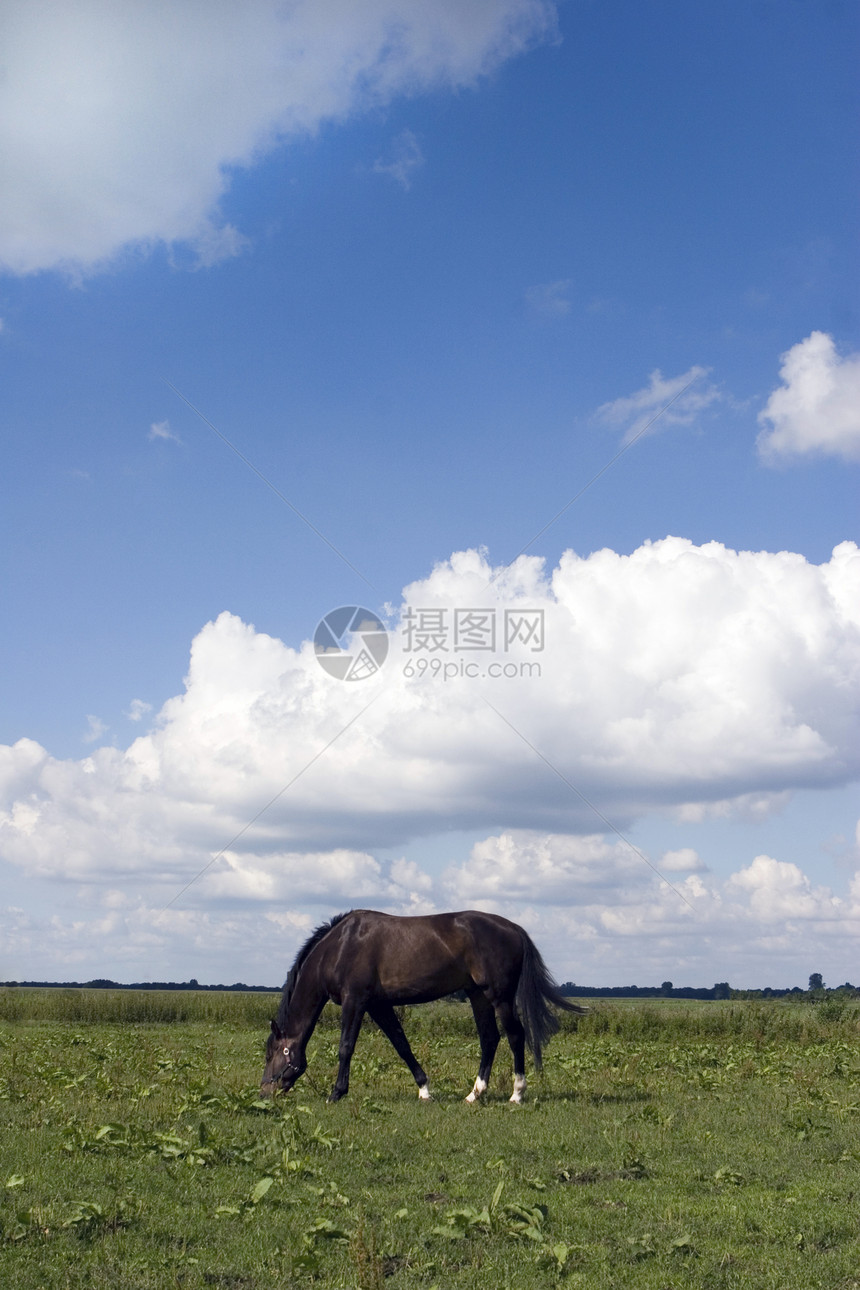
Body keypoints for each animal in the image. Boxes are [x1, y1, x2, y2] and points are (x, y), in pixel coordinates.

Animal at [259, 908, 577, 1109]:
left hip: (499, 997)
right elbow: (401, 1044)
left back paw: (517, 1094)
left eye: (272, 1054)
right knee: (489, 1039)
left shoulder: (355, 1001)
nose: (264, 1092)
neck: (339, 947)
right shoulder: (378, 1005)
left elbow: (345, 1047)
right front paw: (424, 1089)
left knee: (514, 1036)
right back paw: (474, 1094)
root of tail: (514, 929)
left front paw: (336, 1093)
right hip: (477, 995)